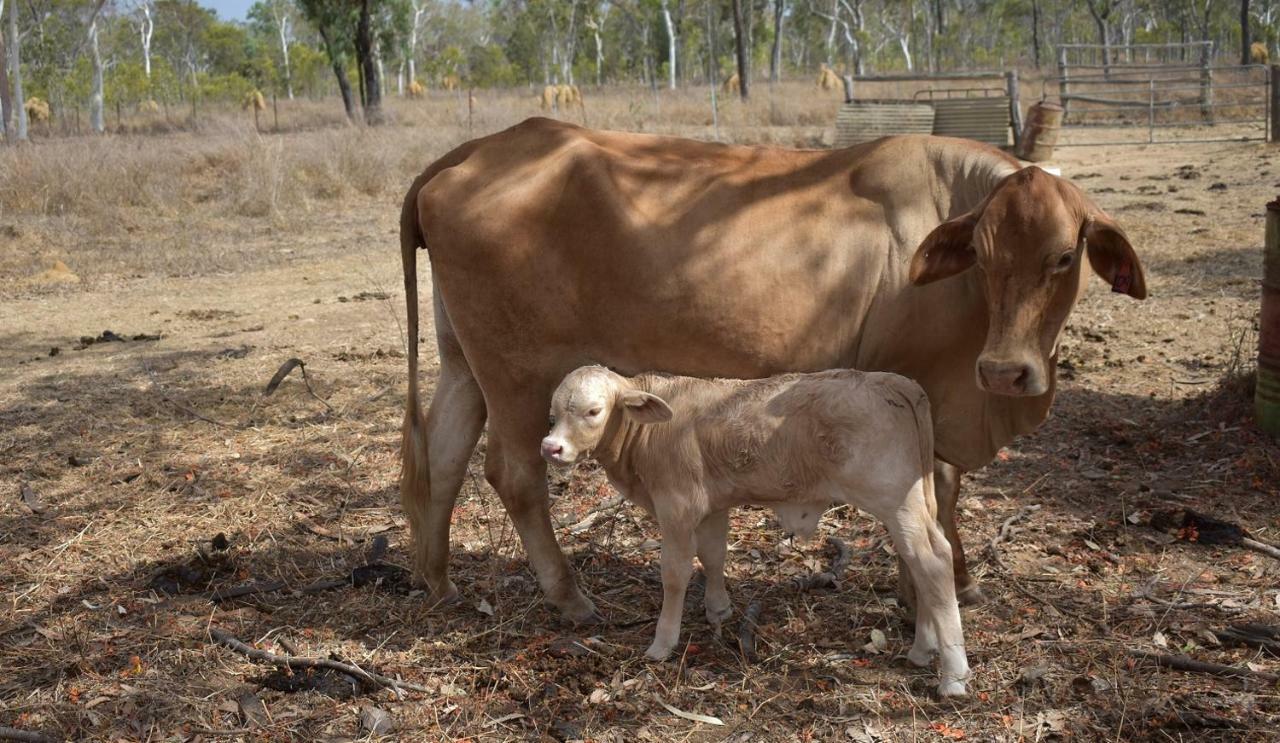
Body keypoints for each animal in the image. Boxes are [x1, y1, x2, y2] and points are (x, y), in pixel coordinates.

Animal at [396, 120, 1141, 620]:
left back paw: (438, 581)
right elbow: (937, 489)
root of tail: (475, 149)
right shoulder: (919, 384)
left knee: (443, 455)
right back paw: (569, 596)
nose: (1007, 372)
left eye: (1064, 257)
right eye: (983, 255)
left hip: (465, 361)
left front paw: (954, 580)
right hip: (521, 372)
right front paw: (927, 590)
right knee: (513, 474)